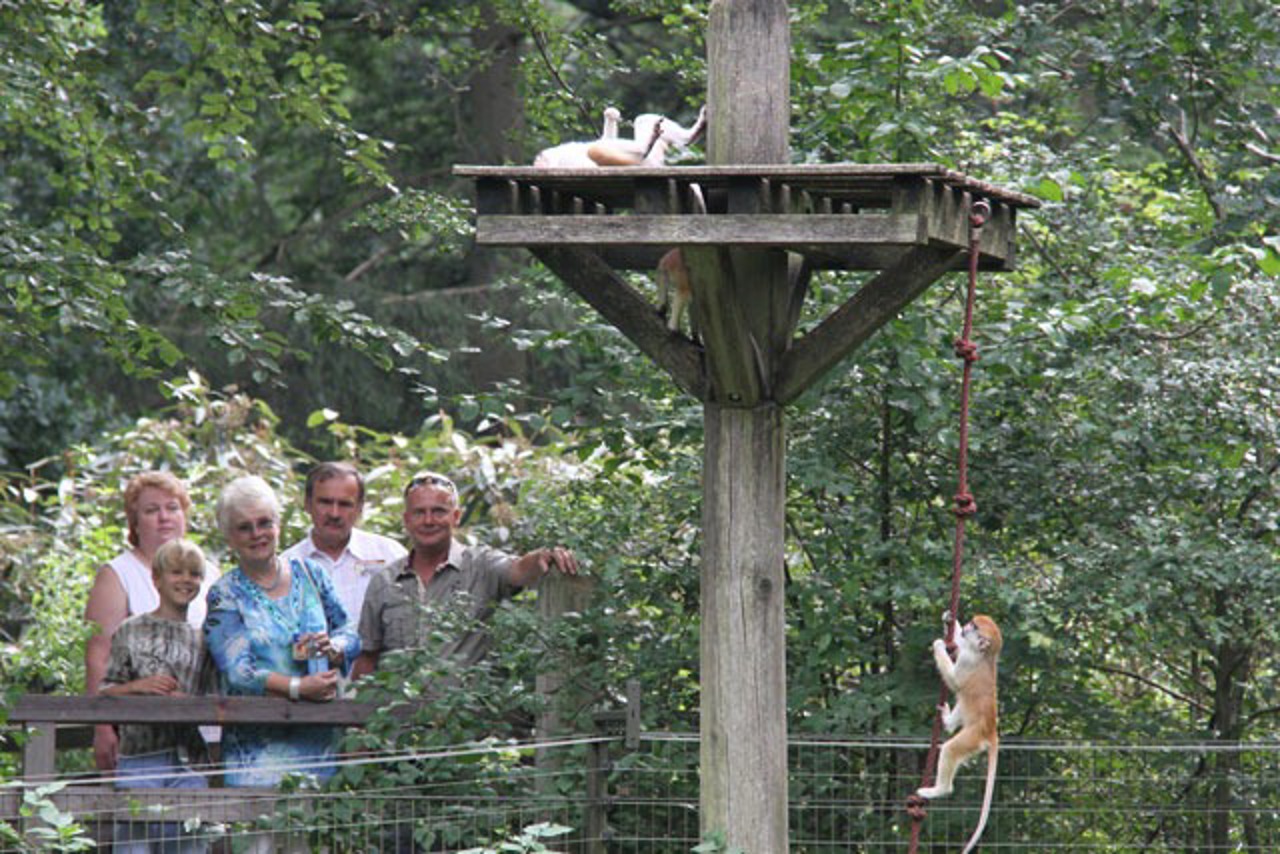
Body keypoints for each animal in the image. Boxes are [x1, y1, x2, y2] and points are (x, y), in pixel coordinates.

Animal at [916, 614, 1002, 854]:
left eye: (975, 626)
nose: (967, 625)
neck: (984, 655)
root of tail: (991, 731)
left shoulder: (967, 660)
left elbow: (955, 681)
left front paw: (939, 644)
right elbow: (960, 644)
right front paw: (950, 621)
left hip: (973, 737)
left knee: (950, 749)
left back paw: (939, 790)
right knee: (962, 703)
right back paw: (948, 721)